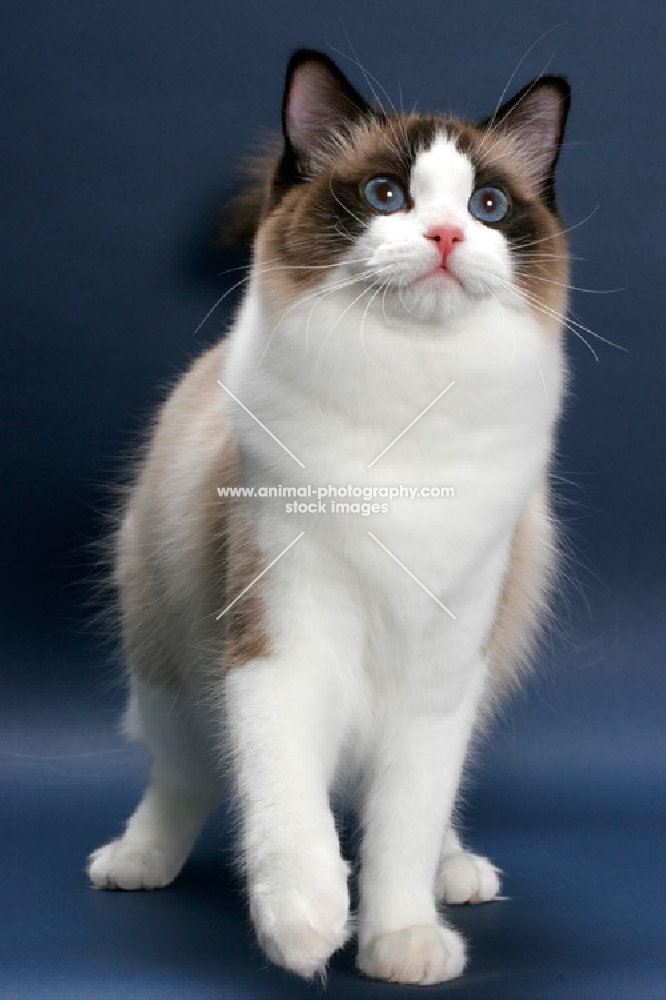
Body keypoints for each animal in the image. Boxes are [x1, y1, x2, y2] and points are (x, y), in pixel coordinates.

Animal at [85, 48, 568, 984]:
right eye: (387, 195)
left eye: (488, 207)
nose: (447, 237)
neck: (412, 413)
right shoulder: (283, 638)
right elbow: (285, 803)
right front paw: (306, 924)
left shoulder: (441, 672)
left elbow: (406, 824)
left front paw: (398, 942)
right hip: (166, 660)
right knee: (185, 778)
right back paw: (137, 863)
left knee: (420, 811)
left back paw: (457, 875)